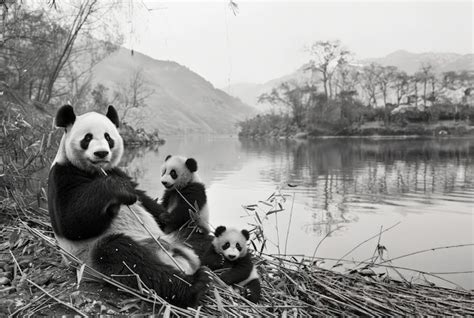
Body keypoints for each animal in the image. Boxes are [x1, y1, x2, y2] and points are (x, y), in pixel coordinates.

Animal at [47, 105, 209, 308]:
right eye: (87, 138)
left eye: (108, 137)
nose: (101, 153)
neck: (96, 171)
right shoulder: (62, 175)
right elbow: (71, 222)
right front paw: (116, 189)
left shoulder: (118, 171)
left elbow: (145, 200)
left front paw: (164, 214)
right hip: (91, 258)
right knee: (127, 259)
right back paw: (194, 287)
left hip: (179, 237)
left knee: (200, 239)